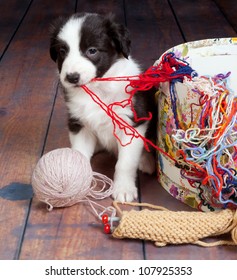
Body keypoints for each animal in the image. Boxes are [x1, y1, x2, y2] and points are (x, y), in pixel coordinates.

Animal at [49, 12, 156, 201]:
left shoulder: (130, 124)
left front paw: (123, 189)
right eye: (62, 51)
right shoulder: (79, 124)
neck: (97, 88)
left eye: (92, 51)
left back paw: (146, 160)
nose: (71, 77)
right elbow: (79, 154)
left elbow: (125, 163)